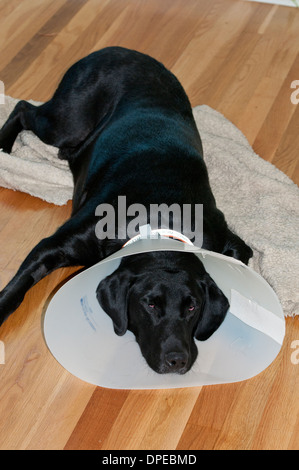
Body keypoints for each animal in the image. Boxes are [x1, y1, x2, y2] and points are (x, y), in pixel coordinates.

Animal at [0, 47, 253, 374]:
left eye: (192, 306)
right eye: (150, 304)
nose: (177, 360)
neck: (160, 221)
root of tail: (118, 49)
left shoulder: (222, 235)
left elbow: (240, 254)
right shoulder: (52, 246)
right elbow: (17, 289)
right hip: (65, 122)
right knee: (22, 108)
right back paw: (4, 148)